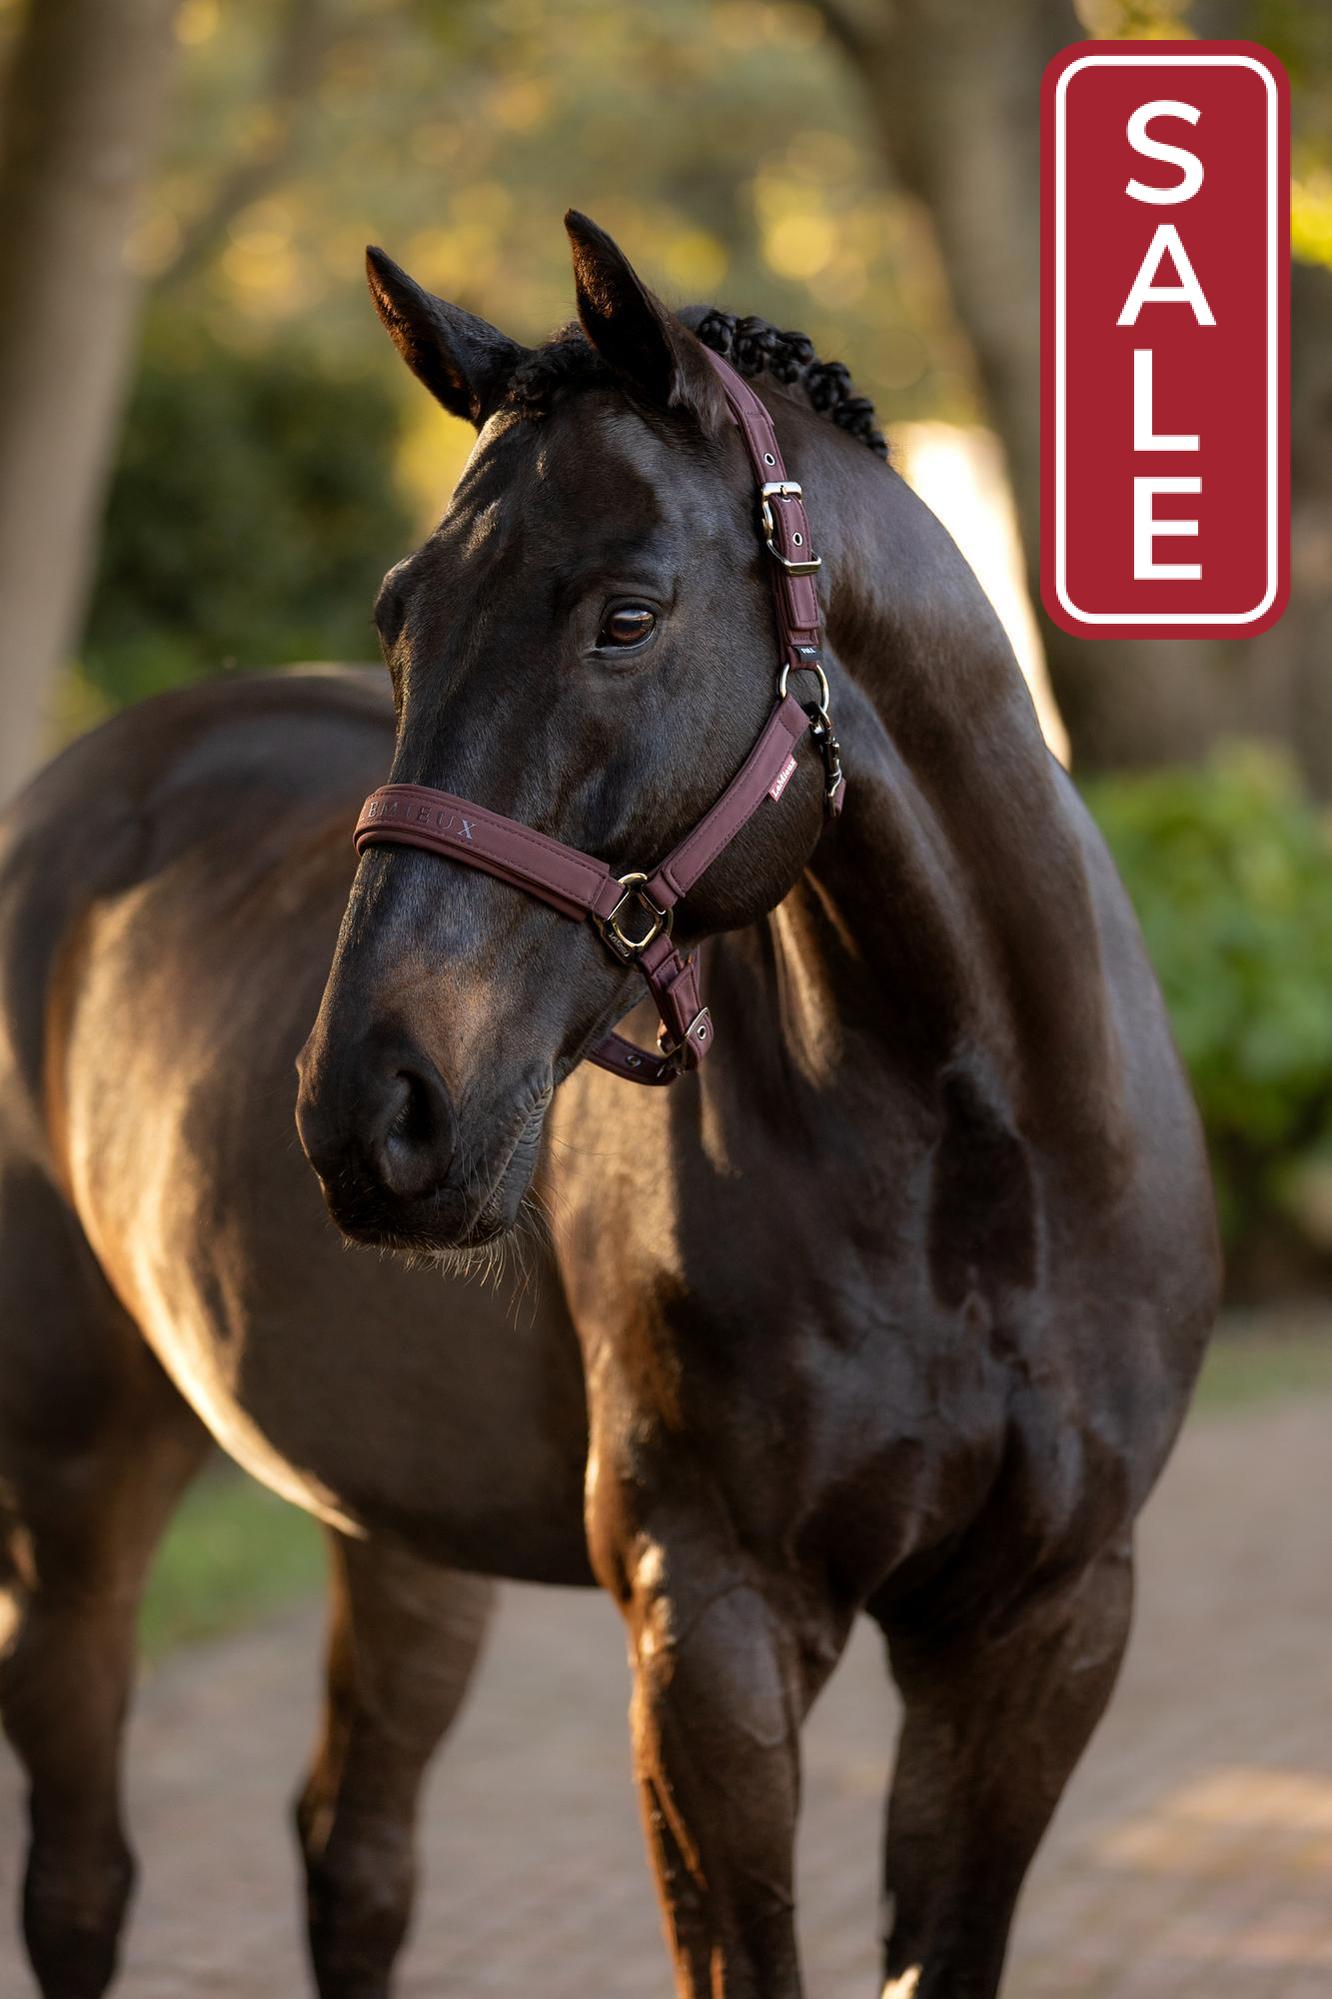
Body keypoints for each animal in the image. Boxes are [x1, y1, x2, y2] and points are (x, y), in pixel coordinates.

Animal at [0, 211, 1219, 1999]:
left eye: (628, 616)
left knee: (354, 1853)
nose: (374, 1105)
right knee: (82, 1878)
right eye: (401, 618)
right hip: (76, 1489)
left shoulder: (1042, 1626)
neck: (984, 1164)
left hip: (399, 1519)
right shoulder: (709, 1621)